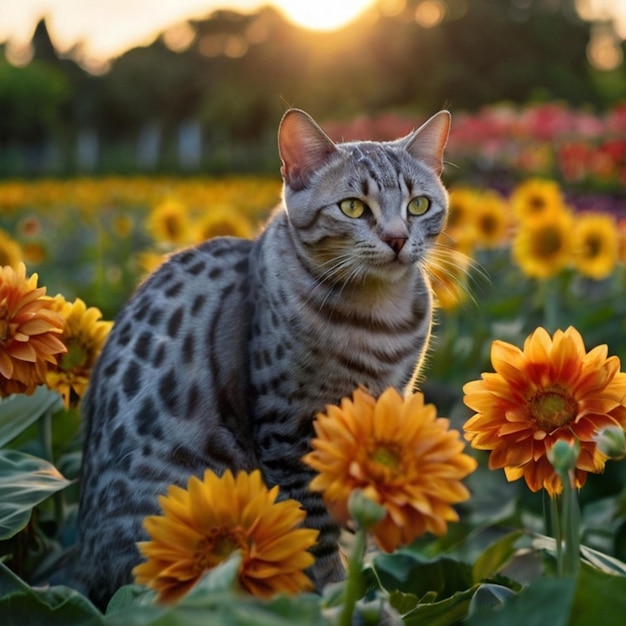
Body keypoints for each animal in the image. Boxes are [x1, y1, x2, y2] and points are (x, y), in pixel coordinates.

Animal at [72, 106, 448, 604]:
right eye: (353, 207)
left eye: (418, 205)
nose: (397, 238)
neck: (378, 316)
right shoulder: (288, 426)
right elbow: (311, 527)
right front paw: (325, 595)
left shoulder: (381, 405)